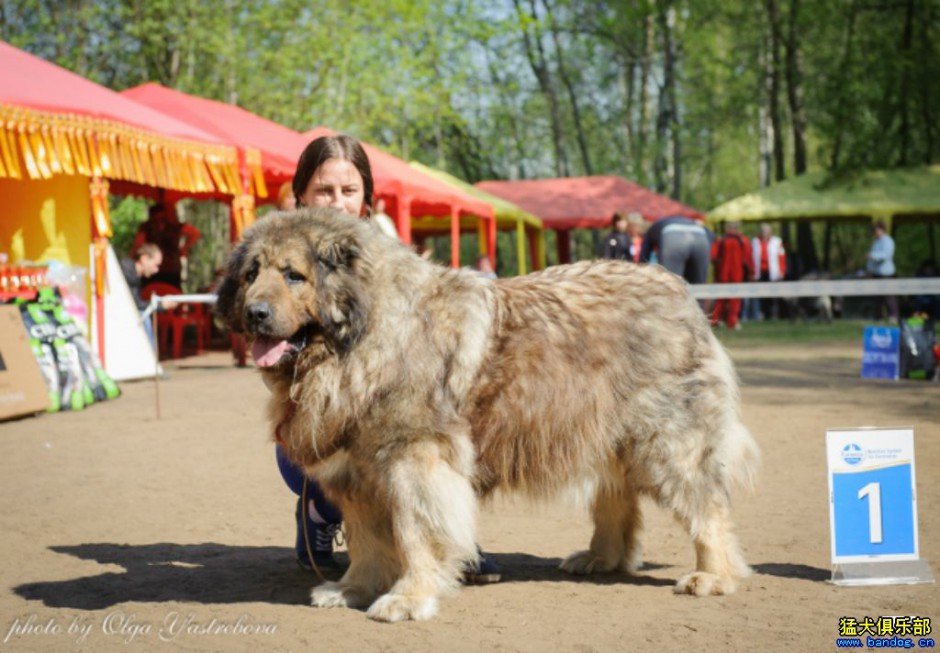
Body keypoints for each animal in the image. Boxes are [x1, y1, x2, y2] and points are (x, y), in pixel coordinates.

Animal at [217, 209, 760, 620]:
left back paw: (712, 575)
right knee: (618, 500)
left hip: (665, 442)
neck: (361, 339)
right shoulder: (358, 470)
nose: (254, 313)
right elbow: (368, 540)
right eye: (251, 275)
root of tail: (677, 288)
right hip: (601, 432)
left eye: (294, 275)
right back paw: (602, 557)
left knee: (706, 508)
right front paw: (353, 589)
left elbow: (414, 534)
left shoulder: (414, 460)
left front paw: (408, 597)